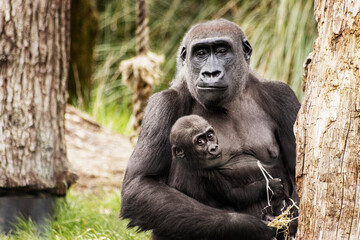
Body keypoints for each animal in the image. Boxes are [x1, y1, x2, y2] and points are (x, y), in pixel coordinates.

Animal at [121, 19, 300, 240]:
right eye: (201, 53)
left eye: (222, 51)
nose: (211, 73)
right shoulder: (163, 104)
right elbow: (141, 185)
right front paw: (252, 228)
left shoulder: (282, 95)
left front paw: (289, 220)